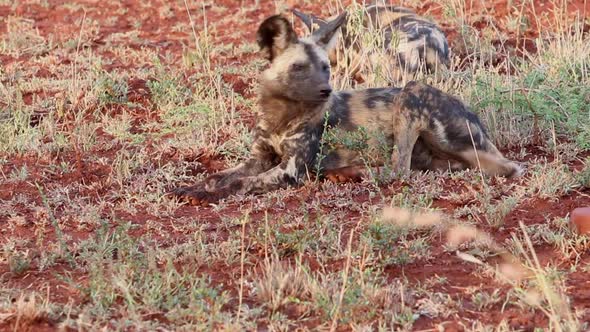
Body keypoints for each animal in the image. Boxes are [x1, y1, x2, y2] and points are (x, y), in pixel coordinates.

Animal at [172, 13, 524, 206]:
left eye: (326, 68)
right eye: (299, 68)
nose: (326, 90)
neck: (281, 118)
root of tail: (480, 125)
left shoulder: (290, 169)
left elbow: (240, 184)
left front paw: (208, 195)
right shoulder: (259, 158)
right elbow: (219, 176)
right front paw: (195, 187)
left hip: (412, 92)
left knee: (399, 169)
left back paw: (354, 173)